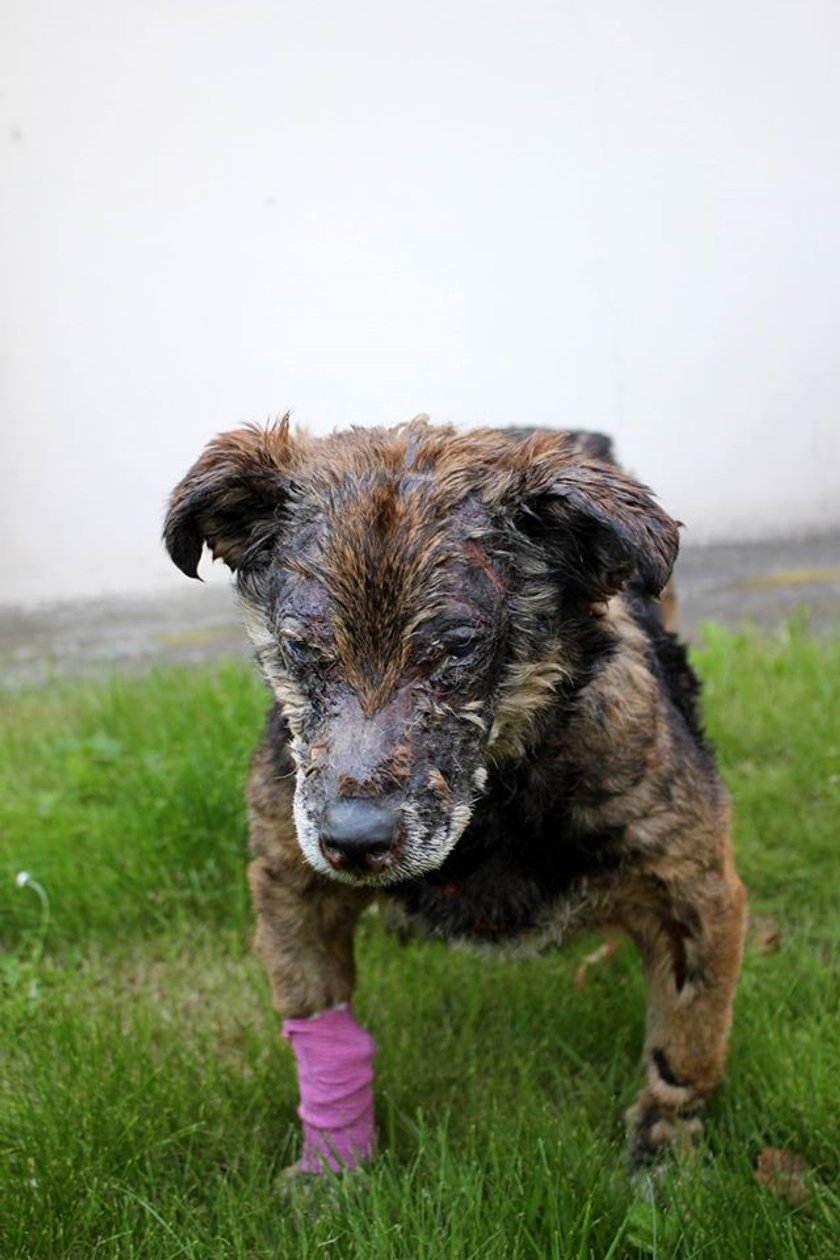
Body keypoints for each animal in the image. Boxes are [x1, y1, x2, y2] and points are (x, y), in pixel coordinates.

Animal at [166, 418, 750, 1174]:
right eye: (299, 645)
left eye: (460, 647)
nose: (354, 842)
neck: (490, 817)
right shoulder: (290, 883)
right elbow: (320, 1024)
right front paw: (333, 1165)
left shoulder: (696, 895)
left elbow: (687, 1045)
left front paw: (662, 1155)